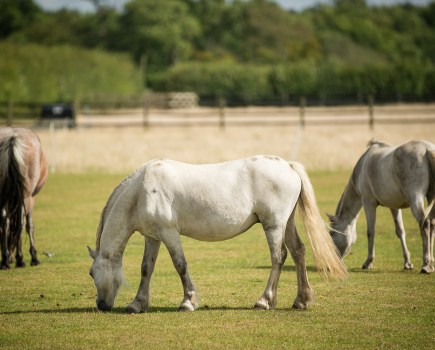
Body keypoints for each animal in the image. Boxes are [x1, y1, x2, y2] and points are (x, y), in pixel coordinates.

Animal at [0, 127, 48, 270]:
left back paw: (5, 261)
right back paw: (20, 259)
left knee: (4, 220)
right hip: (26, 196)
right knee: (20, 224)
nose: (11, 257)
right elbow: (28, 225)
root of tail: (12, 138)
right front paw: (33, 257)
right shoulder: (30, 199)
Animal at [88, 155, 348, 312]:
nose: (101, 305)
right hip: (287, 222)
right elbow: (146, 268)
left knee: (279, 257)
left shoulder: (169, 233)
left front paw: (188, 301)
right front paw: (137, 304)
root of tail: (287, 165)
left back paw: (264, 300)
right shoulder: (152, 237)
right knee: (298, 252)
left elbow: (180, 265)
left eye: (91, 273)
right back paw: (301, 300)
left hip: (273, 225)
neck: (142, 190)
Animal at [330, 139, 435, 274]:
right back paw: (431, 263)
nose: (334, 260)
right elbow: (400, 231)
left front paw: (368, 262)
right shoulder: (394, 206)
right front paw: (407, 263)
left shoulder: (368, 203)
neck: (363, 164)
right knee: (432, 224)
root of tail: (427, 149)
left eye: (332, 233)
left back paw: (426, 265)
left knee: (425, 224)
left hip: (415, 199)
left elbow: (370, 232)